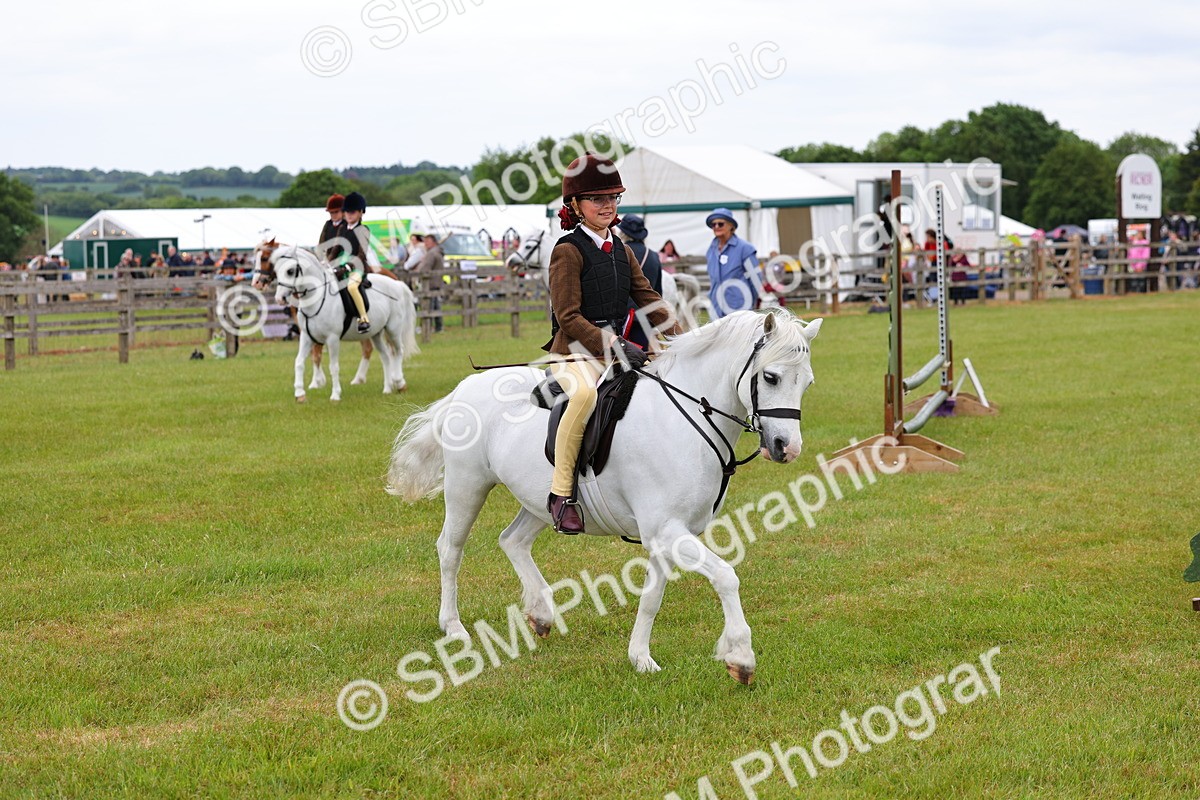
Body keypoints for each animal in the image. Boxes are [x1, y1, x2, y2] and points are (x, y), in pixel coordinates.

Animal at [265, 244, 419, 402]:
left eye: (290, 271)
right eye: (276, 270)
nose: (279, 299)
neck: (318, 299)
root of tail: (397, 283)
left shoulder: (332, 339)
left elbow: (333, 366)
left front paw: (335, 395)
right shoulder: (307, 337)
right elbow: (299, 362)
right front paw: (300, 394)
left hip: (393, 329)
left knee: (398, 351)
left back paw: (400, 383)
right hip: (376, 333)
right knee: (386, 356)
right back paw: (387, 388)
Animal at [386, 308, 822, 683]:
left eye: (807, 383)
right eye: (770, 377)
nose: (787, 448)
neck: (684, 420)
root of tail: (463, 388)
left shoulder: (667, 533)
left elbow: (652, 597)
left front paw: (640, 658)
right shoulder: (666, 530)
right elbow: (726, 577)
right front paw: (741, 658)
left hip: (538, 501)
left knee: (512, 541)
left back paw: (541, 614)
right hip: (467, 485)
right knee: (451, 549)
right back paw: (454, 627)